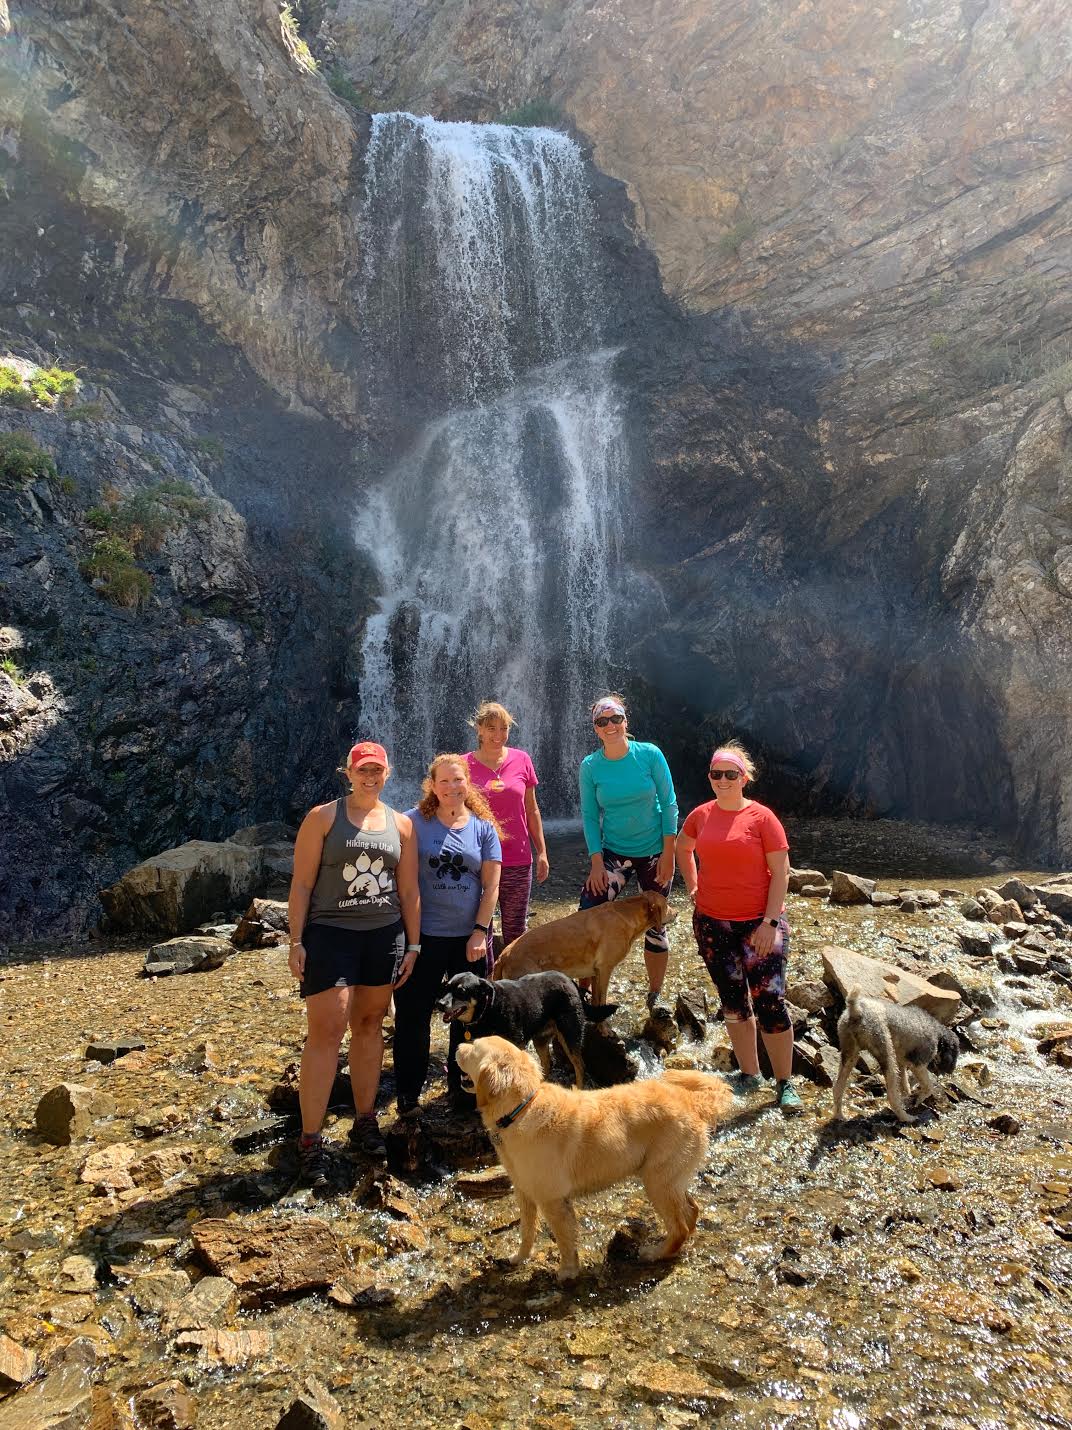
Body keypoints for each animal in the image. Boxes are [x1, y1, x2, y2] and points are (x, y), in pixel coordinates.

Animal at [440, 972, 617, 1081]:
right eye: (446, 987)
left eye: (461, 991)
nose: (439, 1004)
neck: (488, 1009)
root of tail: (570, 980)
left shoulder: (515, 1045)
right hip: (540, 1040)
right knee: (547, 1064)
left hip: (569, 1035)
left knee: (580, 1066)